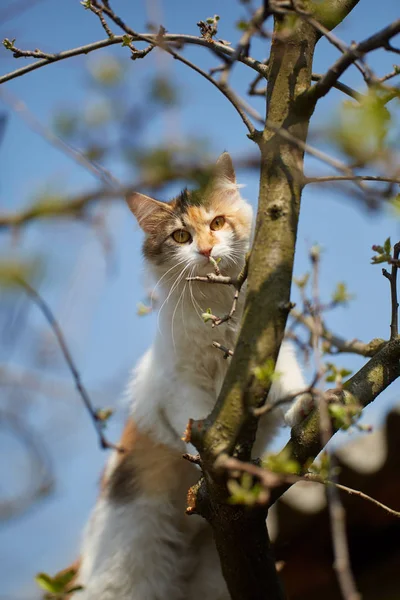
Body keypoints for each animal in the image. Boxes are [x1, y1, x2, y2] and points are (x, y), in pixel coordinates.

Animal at [72, 152, 310, 596]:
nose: (206, 248)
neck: (218, 309)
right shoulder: (175, 385)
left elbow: (291, 390)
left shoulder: (274, 361)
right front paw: (213, 456)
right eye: (181, 237)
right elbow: (200, 419)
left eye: (216, 224)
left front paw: (306, 407)